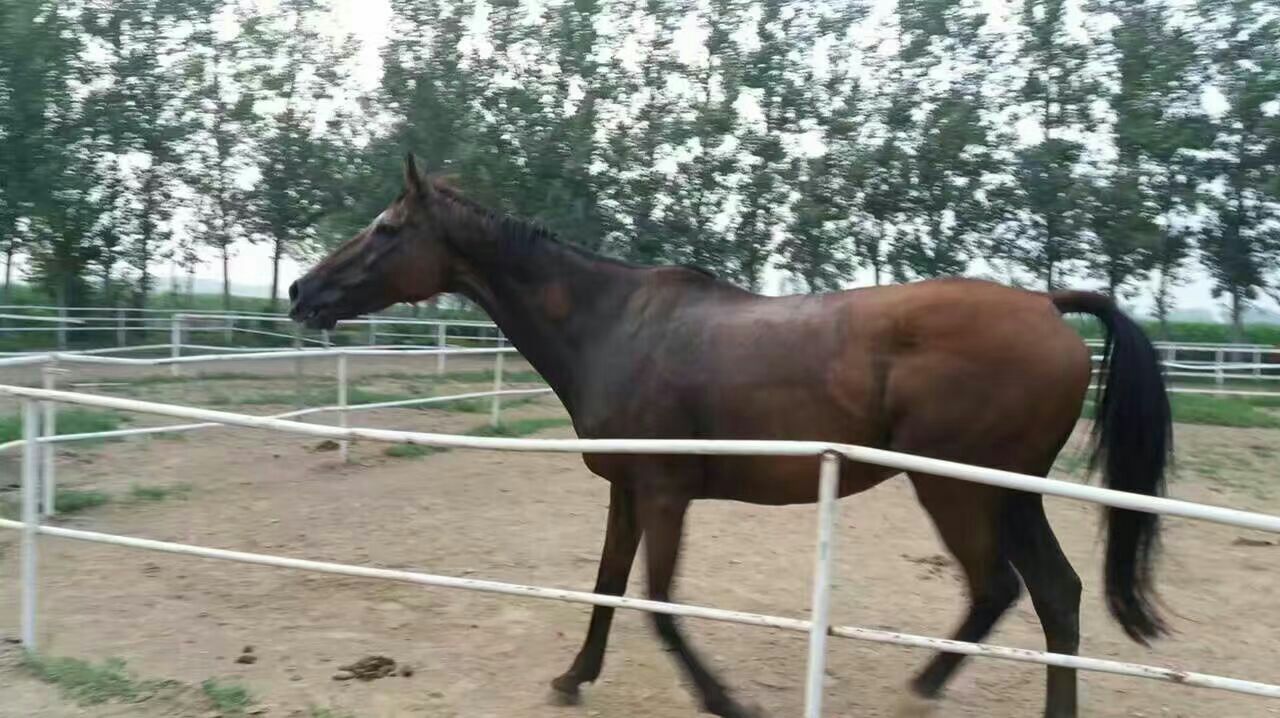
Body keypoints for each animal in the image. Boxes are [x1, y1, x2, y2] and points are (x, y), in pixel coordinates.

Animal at [288, 155, 1172, 718]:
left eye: (386, 229)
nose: (302, 291)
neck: (613, 326)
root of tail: (1049, 307)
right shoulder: (628, 490)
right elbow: (609, 586)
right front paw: (573, 678)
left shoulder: (666, 494)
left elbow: (658, 605)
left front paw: (725, 703)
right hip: (1010, 495)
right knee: (1056, 595)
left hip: (958, 487)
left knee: (1001, 590)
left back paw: (919, 692)